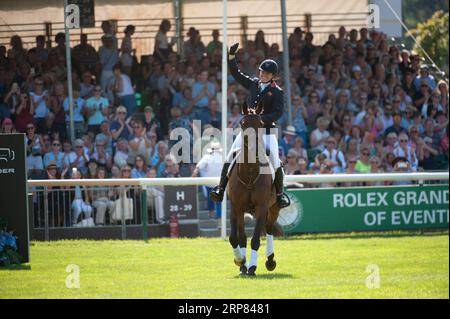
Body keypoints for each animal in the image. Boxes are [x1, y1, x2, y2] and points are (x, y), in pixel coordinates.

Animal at [229, 101, 282, 276]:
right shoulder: (236, 207)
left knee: (269, 228)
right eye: (243, 124)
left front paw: (251, 267)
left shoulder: (262, 207)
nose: (253, 148)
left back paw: (270, 260)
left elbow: (255, 240)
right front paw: (240, 261)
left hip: (274, 207)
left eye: (260, 124)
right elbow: (236, 238)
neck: (250, 174)